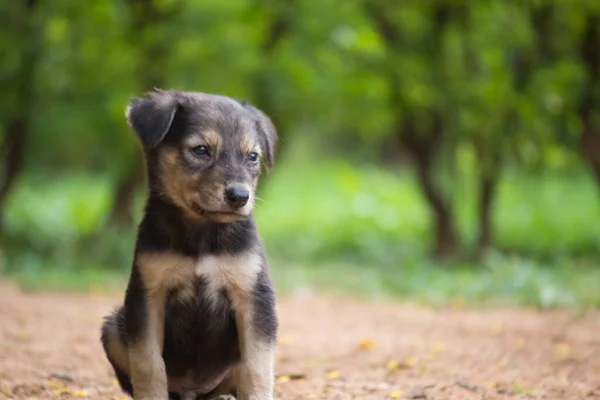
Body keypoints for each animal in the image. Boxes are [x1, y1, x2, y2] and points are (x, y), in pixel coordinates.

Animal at [102, 90, 278, 400]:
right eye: (201, 150)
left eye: (253, 157)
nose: (239, 196)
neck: (202, 234)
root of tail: (192, 391)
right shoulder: (147, 296)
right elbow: (148, 364)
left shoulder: (254, 296)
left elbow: (257, 366)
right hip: (113, 328)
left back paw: (223, 396)